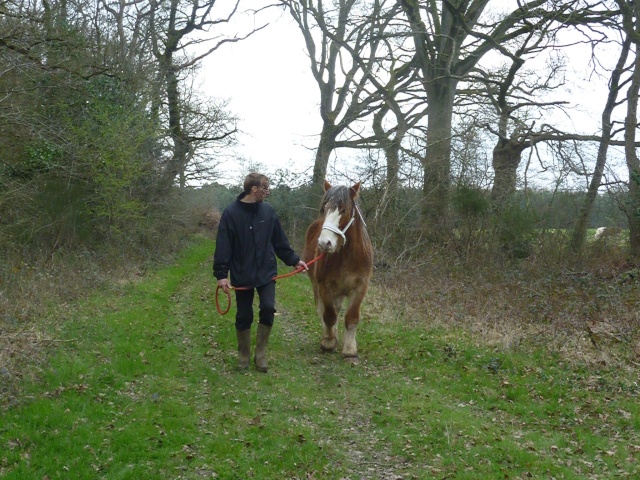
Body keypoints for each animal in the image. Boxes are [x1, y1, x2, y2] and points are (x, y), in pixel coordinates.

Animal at [302, 180, 372, 360]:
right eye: (324, 209)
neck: (347, 256)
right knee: (325, 310)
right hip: (317, 286)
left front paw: (350, 349)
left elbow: (351, 317)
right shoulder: (324, 286)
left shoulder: (360, 287)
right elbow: (328, 315)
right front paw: (328, 342)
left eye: (343, 210)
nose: (324, 243)